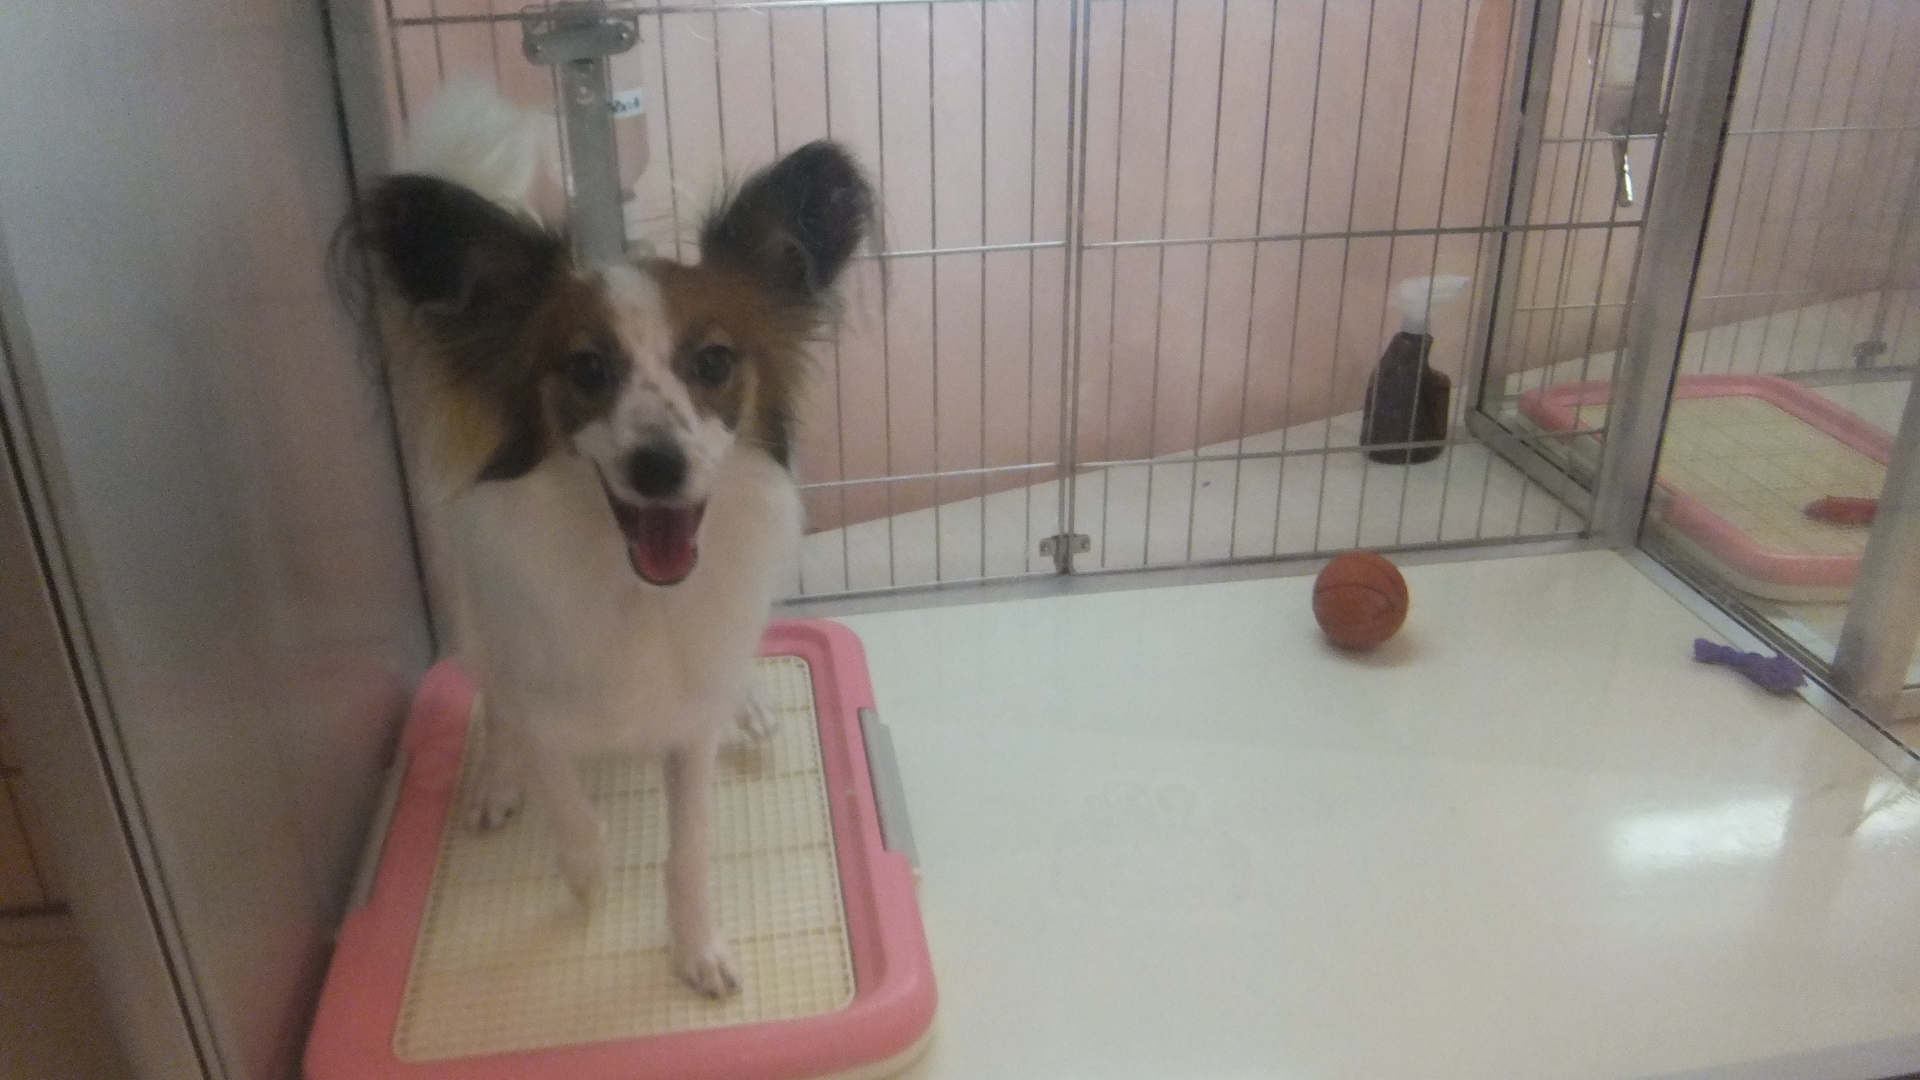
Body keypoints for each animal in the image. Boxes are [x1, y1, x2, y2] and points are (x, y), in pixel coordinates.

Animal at [335, 83, 873, 996]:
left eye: (714, 362)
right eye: (587, 369)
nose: (658, 465)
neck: (636, 594)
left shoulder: (686, 728)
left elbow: (688, 850)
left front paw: (697, 949)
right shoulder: (534, 683)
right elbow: (562, 795)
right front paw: (585, 875)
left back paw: (747, 703)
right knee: (494, 709)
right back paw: (496, 780)